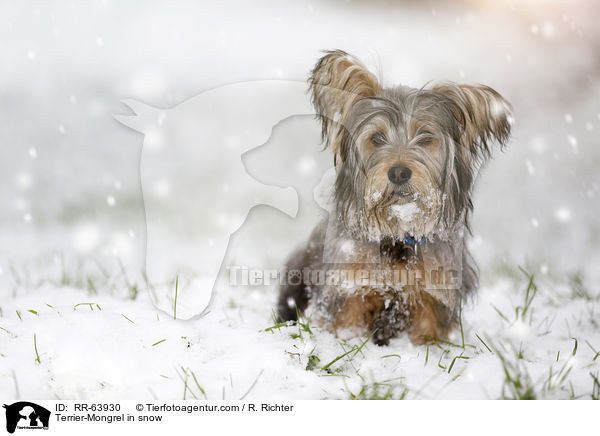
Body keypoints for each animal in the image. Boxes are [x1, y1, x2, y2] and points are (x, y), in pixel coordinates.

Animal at [276, 50, 510, 344]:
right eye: (377, 138)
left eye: (425, 137)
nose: (399, 172)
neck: (398, 234)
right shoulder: (348, 284)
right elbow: (347, 321)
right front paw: (346, 342)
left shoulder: (435, 287)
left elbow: (427, 327)